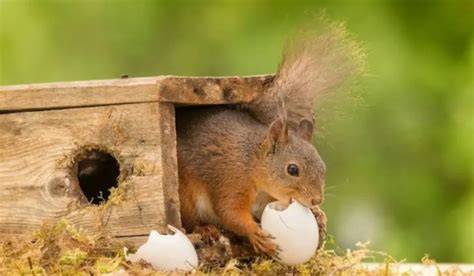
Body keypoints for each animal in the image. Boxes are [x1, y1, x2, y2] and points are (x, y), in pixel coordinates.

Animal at [176, 18, 364, 256]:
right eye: (292, 169)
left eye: (323, 167)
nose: (316, 199)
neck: (254, 164)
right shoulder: (231, 179)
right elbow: (230, 212)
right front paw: (255, 233)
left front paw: (318, 214)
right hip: (185, 195)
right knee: (190, 221)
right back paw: (205, 229)